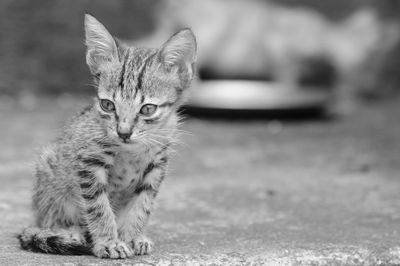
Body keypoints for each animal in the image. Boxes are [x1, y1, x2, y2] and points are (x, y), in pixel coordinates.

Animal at [18, 13, 197, 258]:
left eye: (147, 109)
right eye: (107, 105)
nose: (123, 132)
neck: (132, 152)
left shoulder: (156, 166)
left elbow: (142, 205)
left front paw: (133, 236)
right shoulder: (89, 164)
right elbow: (99, 208)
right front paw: (109, 242)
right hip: (47, 170)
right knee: (50, 220)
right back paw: (69, 232)